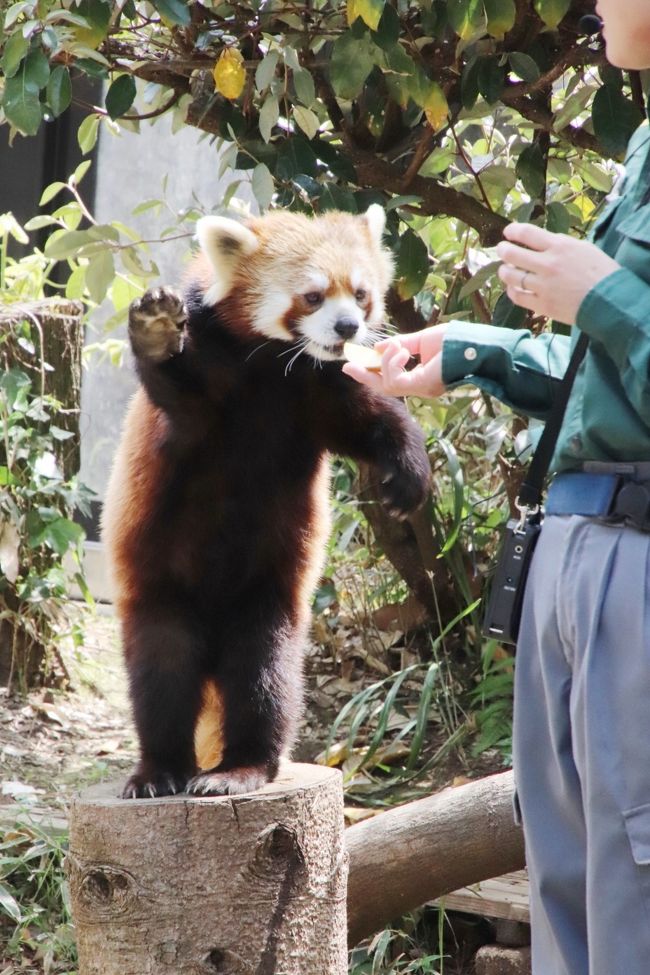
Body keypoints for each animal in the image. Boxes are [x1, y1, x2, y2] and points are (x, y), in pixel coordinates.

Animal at [102, 206, 430, 800]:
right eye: (313, 297)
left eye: (361, 294)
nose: (348, 328)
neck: (275, 365)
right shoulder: (203, 399)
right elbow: (176, 389)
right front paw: (157, 332)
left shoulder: (320, 393)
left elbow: (375, 421)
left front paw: (408, 475)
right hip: (160, 592)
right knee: (162, 675)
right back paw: (159, 770)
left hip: (266, 597)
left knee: (263, 677)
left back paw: (241, 768)